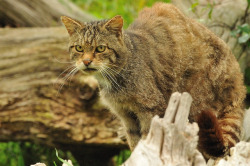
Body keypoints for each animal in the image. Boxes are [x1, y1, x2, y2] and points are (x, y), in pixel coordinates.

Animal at [61, 2, 246, 158]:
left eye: (100, 48)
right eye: (79, 48)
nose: (86, 61)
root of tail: (239, 83)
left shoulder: (150, 110)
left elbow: (145, 142)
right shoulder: (126, 117)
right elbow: (135, 144)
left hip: (197, 108)